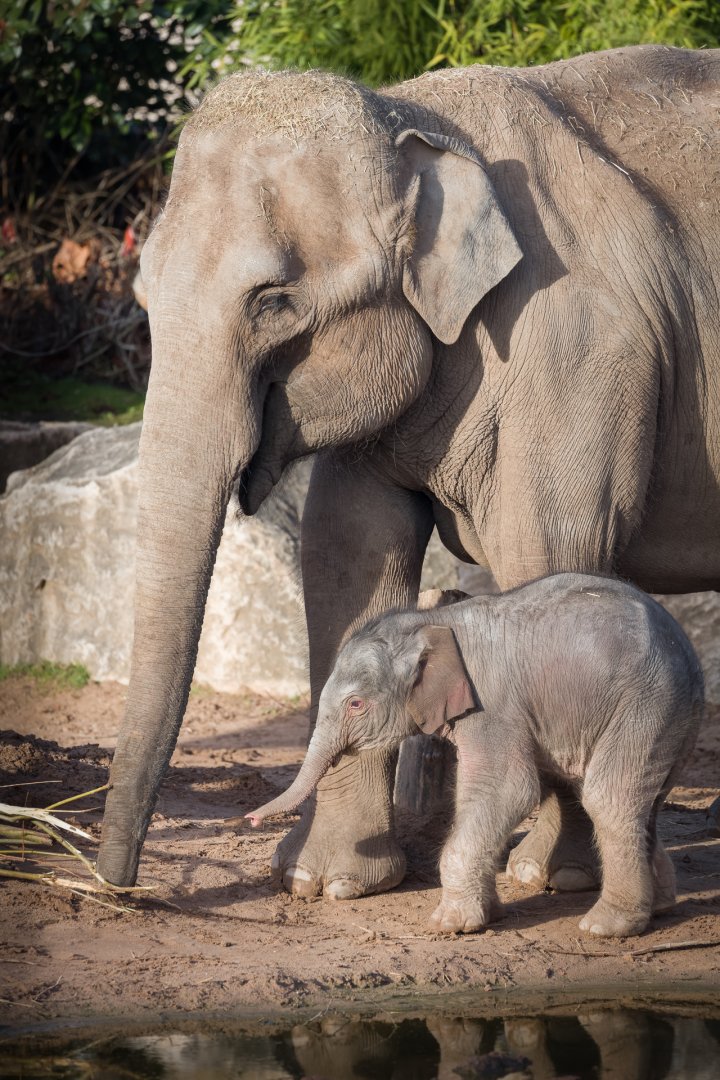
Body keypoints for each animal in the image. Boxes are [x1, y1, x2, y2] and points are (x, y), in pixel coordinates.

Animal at [97, 45, 720, 895]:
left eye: (273, 301)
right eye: (144, 291)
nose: (114, 883)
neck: (415, 119)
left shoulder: (584, 352)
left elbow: (548, 547)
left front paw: (550, 878)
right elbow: (346, 549)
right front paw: (325, 881)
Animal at [247, 574, 704, 936]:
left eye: (356, 704)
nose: (250, 819)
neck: (436, 623)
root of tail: (692, 656)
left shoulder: (492, 706)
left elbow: (509, 790)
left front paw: (449, 925)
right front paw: (489, 915)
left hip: (647, 704)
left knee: (609, 798)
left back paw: (604, 928)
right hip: (666, 720)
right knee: (645, 804)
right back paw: (660, 907)